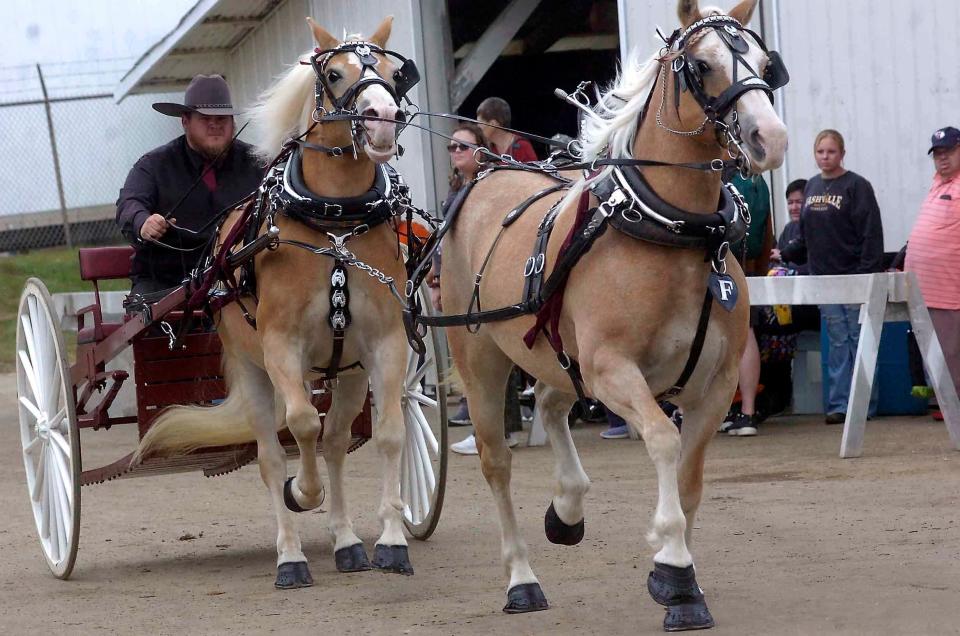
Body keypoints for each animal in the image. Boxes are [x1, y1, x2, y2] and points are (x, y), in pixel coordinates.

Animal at [136, 17, 420, 588]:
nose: (382, 121)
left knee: (335, 440)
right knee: (273, 451)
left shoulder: (385, 344)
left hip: (346, 369)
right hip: (252, 367)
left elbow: (388, 434)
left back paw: (347, 542)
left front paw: (392, 541)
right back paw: (290, 555)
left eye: (393, 73)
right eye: (334, 74)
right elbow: (301, 426)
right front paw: (302, 493)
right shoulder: (280, 347)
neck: (334, 225)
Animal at [436, 0, 788, 632]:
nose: (768, 137)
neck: (675, 235)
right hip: (481, 360)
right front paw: (674, 563)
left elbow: (690, 479)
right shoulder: (611, 370)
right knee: (498, 463)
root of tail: (485, 174)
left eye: (766, 64)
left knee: (551, 404)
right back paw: (521, 579)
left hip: (555, 350)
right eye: (701, 65)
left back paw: (567, 506)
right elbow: (664, 443)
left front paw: (680, 583)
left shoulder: (715, 385)